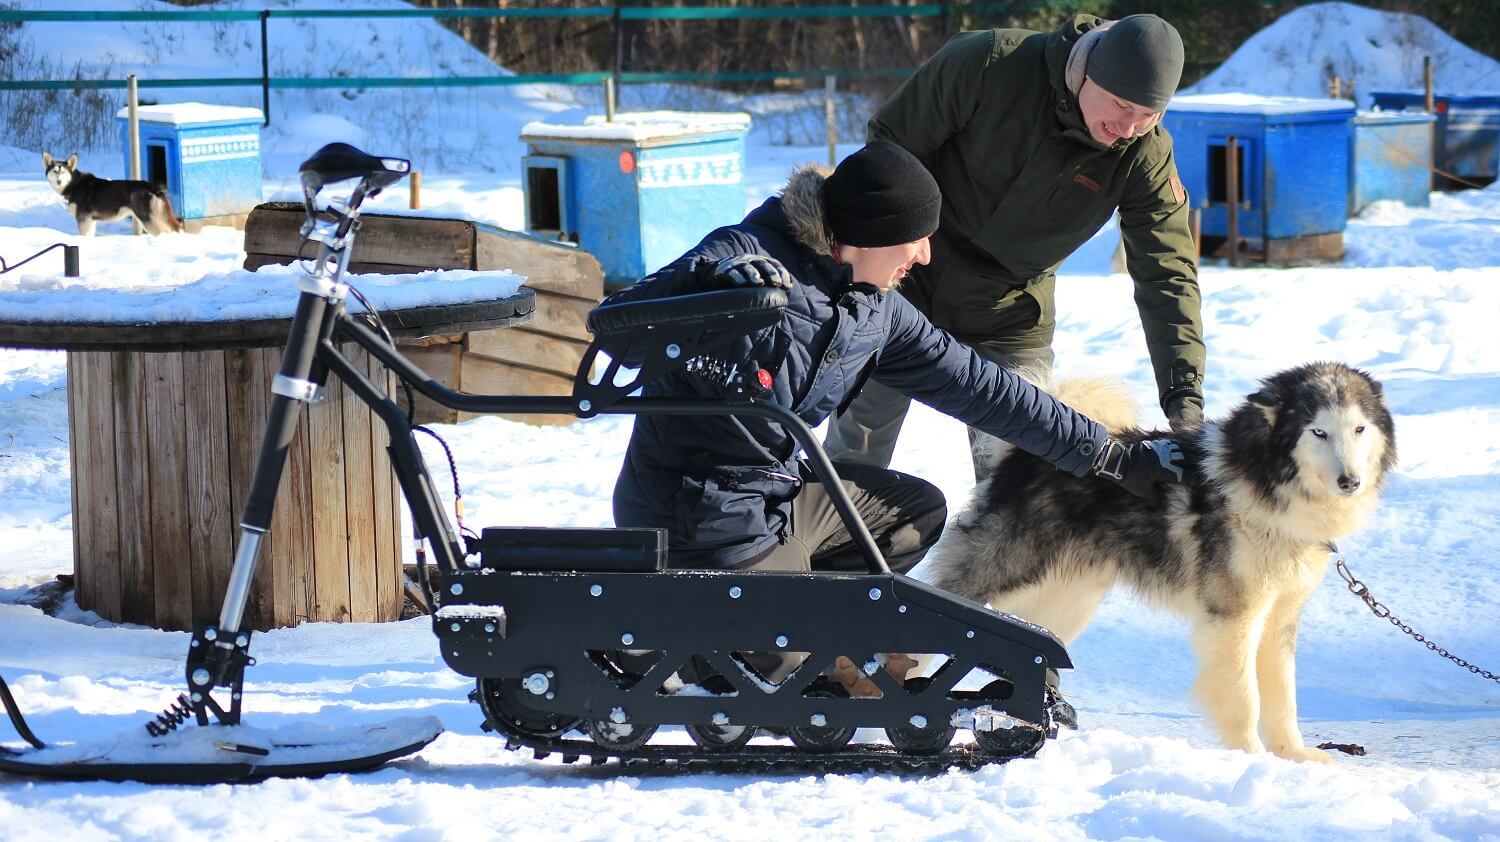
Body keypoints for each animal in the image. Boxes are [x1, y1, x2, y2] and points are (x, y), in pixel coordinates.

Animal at [41, 150, 183, 234]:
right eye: (55, 171)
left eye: (63, 172)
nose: (59, 181)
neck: (74, 184)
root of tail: (153, 187)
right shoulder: (91, 221)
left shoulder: (83, 220)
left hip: (148, 220)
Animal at [930, 361, 1398, 762]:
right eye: (1318, 431)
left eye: (1358, 429)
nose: (1350, 481)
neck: (1266, 485)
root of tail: (1021, 455)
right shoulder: (1233, 616)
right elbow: (1245, 697)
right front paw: (1249, 758)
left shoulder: (1281, 615)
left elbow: (1283, 698)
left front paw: (1293, 756)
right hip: (998, 573)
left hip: (1068, 601)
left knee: (1027, 647)